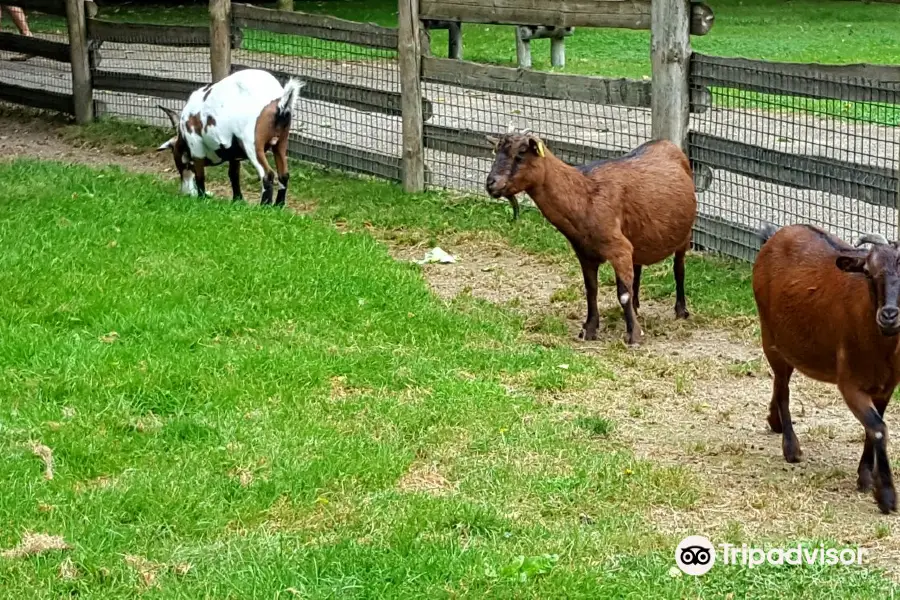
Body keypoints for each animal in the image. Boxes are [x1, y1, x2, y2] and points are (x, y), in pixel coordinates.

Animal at [486, 133, 696, 344]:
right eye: (495, 152)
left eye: (520, 154)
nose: (490, 183)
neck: (584, 196)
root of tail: (666, 143)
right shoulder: (585, 253)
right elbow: (591, 289)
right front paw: (589, 329)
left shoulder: (619, 249)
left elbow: (623, 294)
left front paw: (634, 336)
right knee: (637, 270)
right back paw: (637, 307)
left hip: (685, 236)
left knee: (679, 269)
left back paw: (681, 310)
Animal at [752, 223, 900, 512]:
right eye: (868, 272)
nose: (889, 315)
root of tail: (774, 237)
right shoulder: (850, 382)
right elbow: (878, 428)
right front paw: (886, 496)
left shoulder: (887, 385)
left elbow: (874, 426)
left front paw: (865, 476)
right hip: (771, 337)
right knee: (782, 387)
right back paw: (791, 447)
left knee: (778, 383)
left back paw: (774, 422)